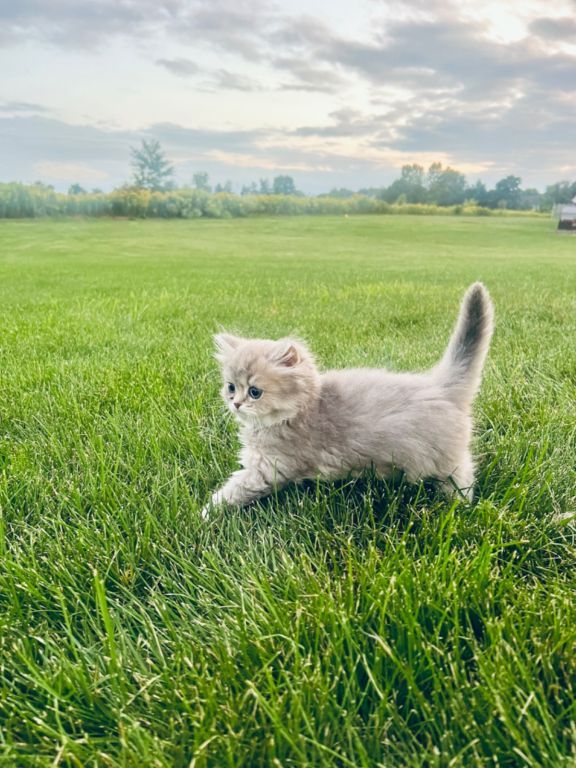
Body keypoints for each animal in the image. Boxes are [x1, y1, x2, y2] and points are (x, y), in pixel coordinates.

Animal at [204, 284, 496, 520]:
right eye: (231, 387)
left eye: (255, 392)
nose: (236, 404)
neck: (302, 410)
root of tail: (440, 384)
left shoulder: (269, 469)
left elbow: (234, 489)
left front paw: (207, 512)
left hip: (445, 460)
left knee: (464, 474)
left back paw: (460, 505)